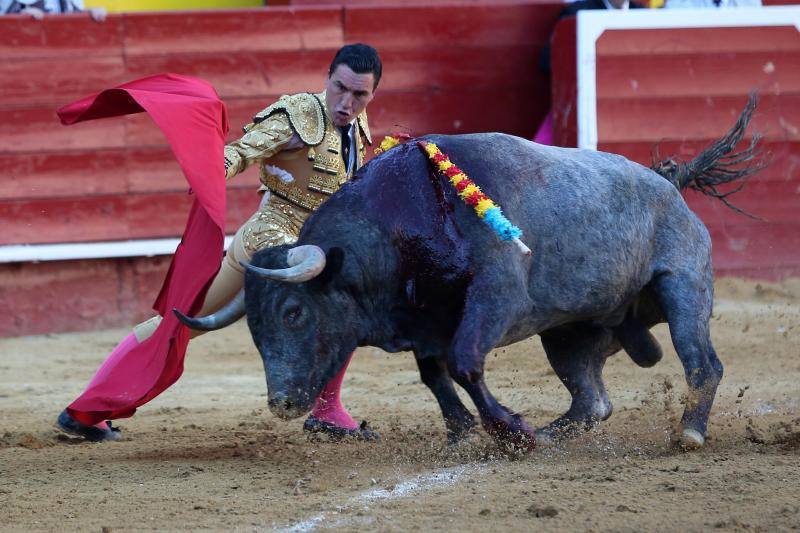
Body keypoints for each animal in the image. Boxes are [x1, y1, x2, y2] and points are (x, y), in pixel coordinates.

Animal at [180, 94, 764, 448]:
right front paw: (468, 430)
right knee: (592, 398)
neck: (410, 217)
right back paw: (555, 432)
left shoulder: (497, 297)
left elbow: (463, 363)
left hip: (684, 287)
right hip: (568, 333)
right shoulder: (424, 320)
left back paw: (688, 432)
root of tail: (671, 183)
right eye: (254, 327)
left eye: (294, 312)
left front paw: (510, 433)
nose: (280, 403)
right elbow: (434, 374)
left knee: (703, 363)